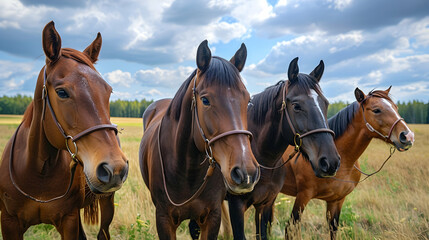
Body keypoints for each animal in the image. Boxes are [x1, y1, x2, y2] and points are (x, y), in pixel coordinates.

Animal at [0, 21, 128, 239]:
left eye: (108, 91)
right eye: (61, 92)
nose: (115, 167)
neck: (39, 172)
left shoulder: (69, 220)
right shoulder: (9, 222)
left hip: (106, 202)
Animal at [139, 40, 260, 239]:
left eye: (248, 100)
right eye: (205, 100)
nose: (246, 172)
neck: (186, 169)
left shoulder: (212, 217)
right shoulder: (163, 219)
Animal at [192, 57, 340, 239]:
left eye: (325, 104)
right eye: (296, 106)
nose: (330, 162)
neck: (265, 160)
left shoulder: (266, 203)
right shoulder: (237, 206)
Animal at [270, 87, 412, 239]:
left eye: (396, 107)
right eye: (376, 110)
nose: (408, 136)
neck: (342, 163)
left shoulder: (337, 200)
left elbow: (333, 229)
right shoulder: (303, 196)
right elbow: (291, 228)